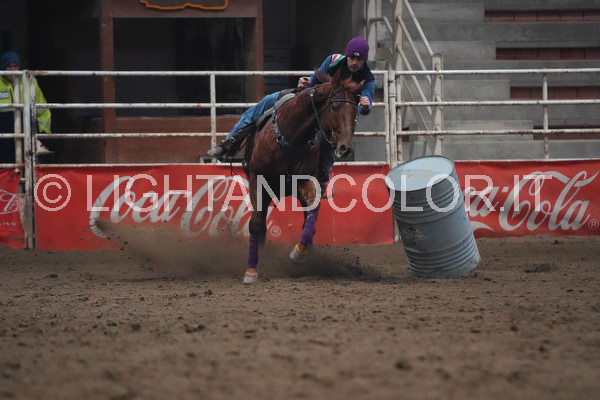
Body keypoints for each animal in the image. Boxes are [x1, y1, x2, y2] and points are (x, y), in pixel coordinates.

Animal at [241, 69, 365, 283]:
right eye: (334, 106)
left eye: (355, 113)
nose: (346, 148)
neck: (292, 134)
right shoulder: (257, 178)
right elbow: (255, 224)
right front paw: (251, 271)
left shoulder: (306, 181)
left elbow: (312, 216)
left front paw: (298, 254)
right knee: (261, 223)